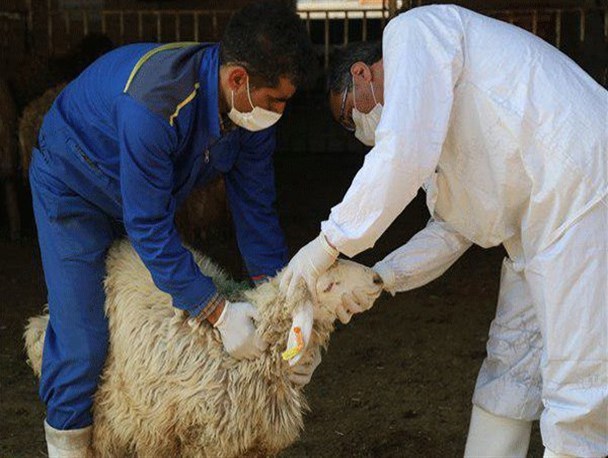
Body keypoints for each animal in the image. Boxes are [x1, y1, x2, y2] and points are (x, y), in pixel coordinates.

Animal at [26, 238, 382, 456]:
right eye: (329, 284)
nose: (378, 279)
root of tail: (120, 246)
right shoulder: (206, 439)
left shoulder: (254, 443)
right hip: (108, 407)